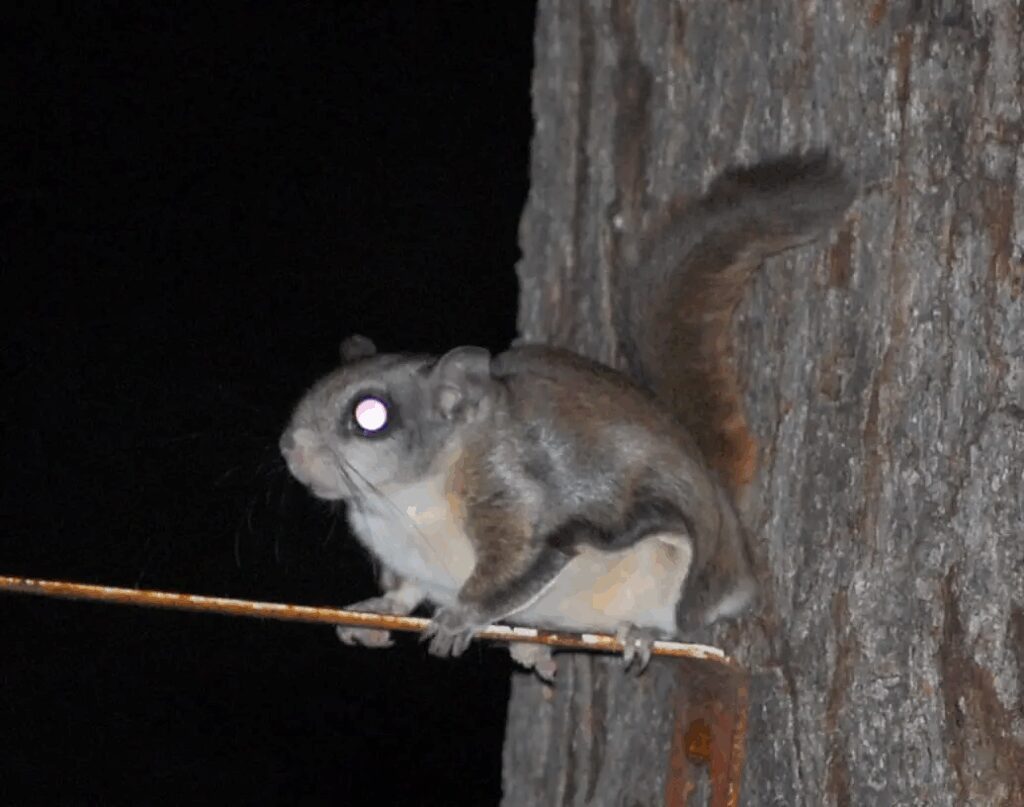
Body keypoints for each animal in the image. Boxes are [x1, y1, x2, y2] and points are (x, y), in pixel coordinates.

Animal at [279, 152, 854, 679]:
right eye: (321, 384)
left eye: (371, 415)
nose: (289, 446)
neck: (404, 501)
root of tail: (731, 530)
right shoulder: (406, 560)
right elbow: (403, 595)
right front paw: (372, 614)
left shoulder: (521, 495)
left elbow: (519, 565)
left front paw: (462, 616)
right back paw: (532, 648)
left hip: (677, 566)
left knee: (681, 623)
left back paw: (642, 634)